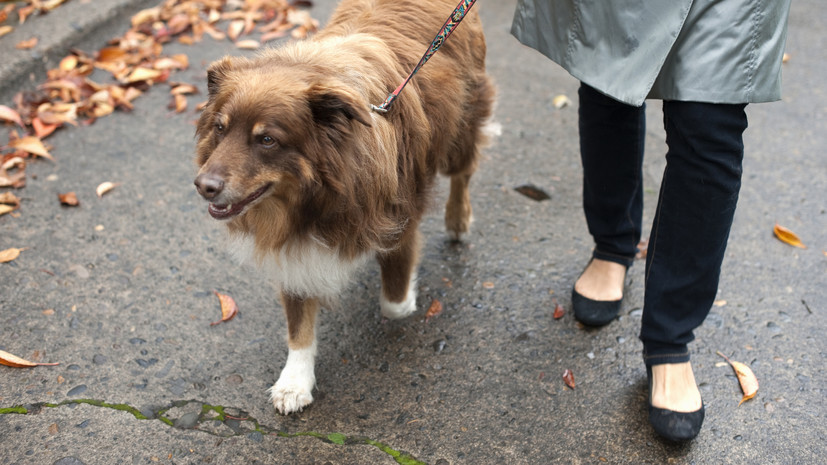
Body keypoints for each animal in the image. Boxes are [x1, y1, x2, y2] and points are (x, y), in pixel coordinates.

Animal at [192, 0, 494, 414]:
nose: (203, 187)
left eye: (267, 139)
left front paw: (407, 295)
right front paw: (295, 381)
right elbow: (298, 324)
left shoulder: (398, 222)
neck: (315, 197)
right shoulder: (293, 246)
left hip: (463, 121)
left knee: (463, 173)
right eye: (219, 129)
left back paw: (458, 220)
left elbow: (395, 302)